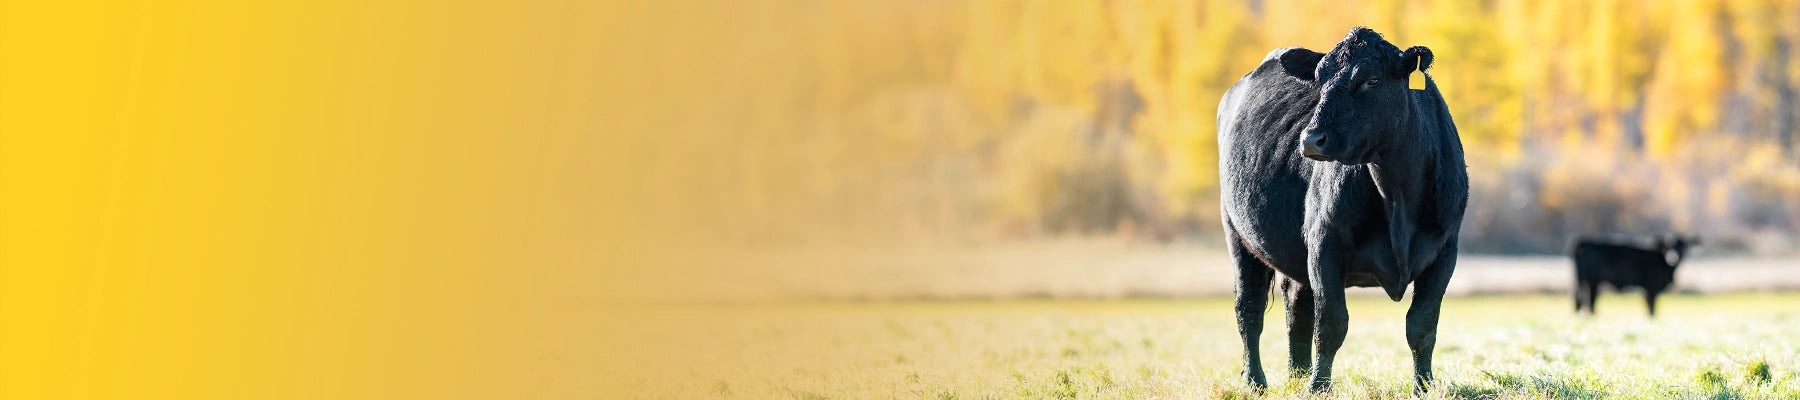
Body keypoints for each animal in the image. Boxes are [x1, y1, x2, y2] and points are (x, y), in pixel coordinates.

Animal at [1216, 27, 1468, 394]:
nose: (1311, 139)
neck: (1397, 198)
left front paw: (1423, 387)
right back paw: (1256, 382)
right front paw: (1319, 388)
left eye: (1371, 80)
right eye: (1320, 80)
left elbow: (1422, 326)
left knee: (1297, 309)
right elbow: (1332, 324)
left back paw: (1297, 375)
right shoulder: (1324, 245)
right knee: (1249, 308)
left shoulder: (1445, 252)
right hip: (1238, 235)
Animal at [1570, 233, 1699, 316]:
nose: (1673, 257)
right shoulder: (1652, 288)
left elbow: (1649, 307)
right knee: (1590, 300)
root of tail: (1585, 242)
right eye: (1667, 246)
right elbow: (1652, 307)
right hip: (1592, 282)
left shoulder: (1647, 289)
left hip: (1581, 281)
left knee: (1579, 298)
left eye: (1683, 246)